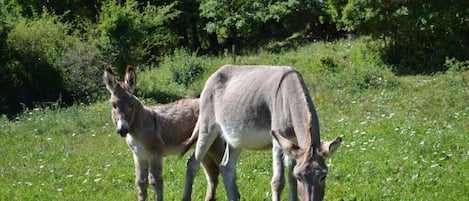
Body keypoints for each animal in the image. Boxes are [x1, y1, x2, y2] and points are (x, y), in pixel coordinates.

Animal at [103, 65, 224, 200]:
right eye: (114, 106)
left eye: (131, 105)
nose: (122, 130)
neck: (139, 127)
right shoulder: (139, 156)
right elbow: (140, 182)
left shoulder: (155, 155)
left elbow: (155, 181)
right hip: (204, 148)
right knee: (212, 172)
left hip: (215, 145)